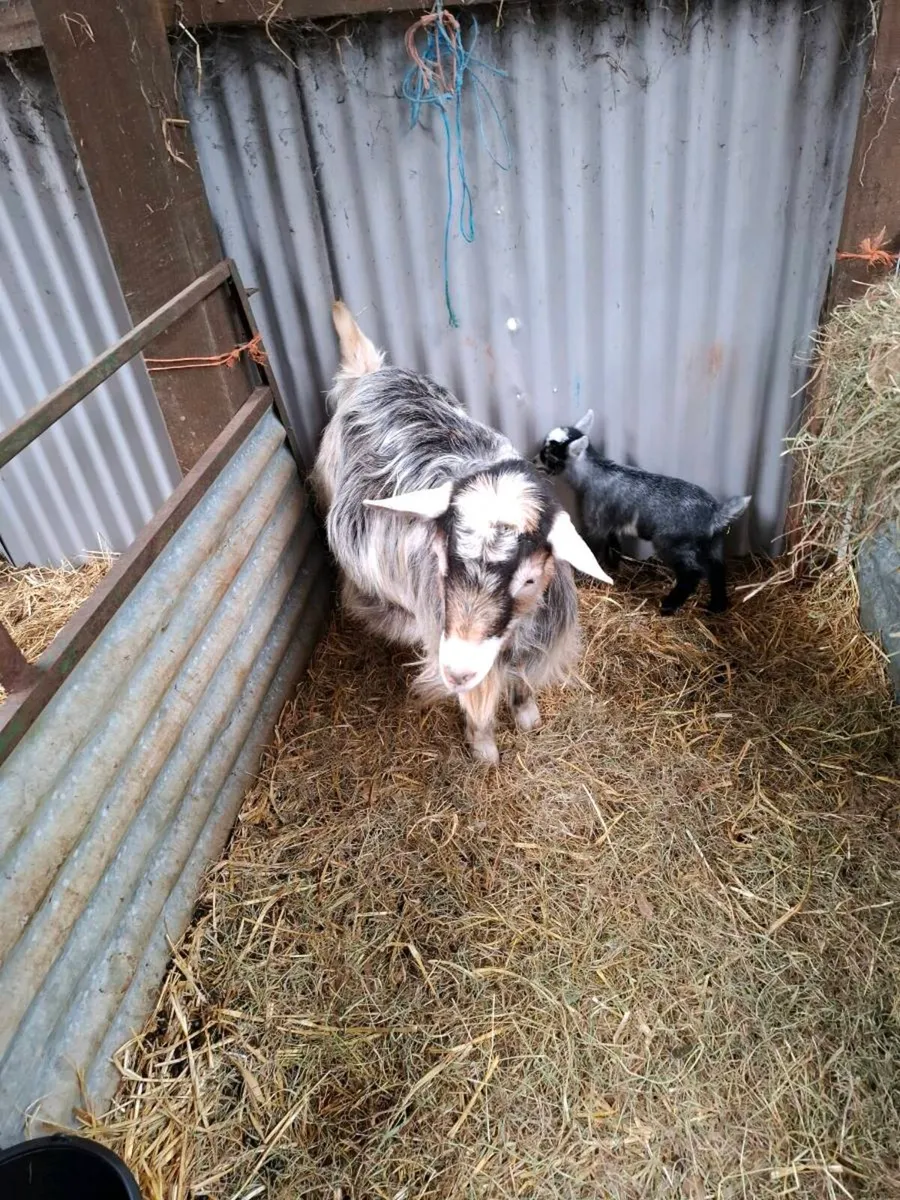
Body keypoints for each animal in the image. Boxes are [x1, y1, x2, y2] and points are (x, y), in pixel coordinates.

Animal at [311, 303, 612, 764]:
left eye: (529, 579)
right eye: (441, 559)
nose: (456, 671)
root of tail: (371, 373)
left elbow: (520, 682)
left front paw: (527, 716)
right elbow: (479, 703)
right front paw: (484, 749)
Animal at [535, 411, 751, 615]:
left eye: (550, 454)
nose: (534, 460)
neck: (593, 475)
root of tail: (715, 513)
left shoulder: (596, 522)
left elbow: (591, 549)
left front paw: (583, 576)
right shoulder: (611, 523)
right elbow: (614, 546)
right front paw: (613, 567)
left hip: (673, 543)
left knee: (692, 573)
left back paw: (669, 606)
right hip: (714, 543)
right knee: (717, 570)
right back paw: (717, 606)